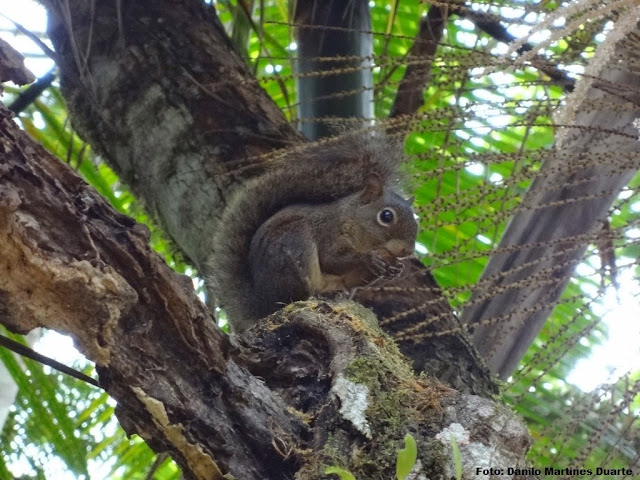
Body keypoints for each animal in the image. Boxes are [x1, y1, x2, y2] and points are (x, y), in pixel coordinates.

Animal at [211, 132, 420, 334]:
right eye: (386, 216)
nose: (407, 251)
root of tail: (263, 305)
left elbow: (354, 278)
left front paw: (395, 268)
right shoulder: (328, 231)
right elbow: (331, 259)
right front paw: (370, 258)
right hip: (294, 242)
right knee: (294, 295)